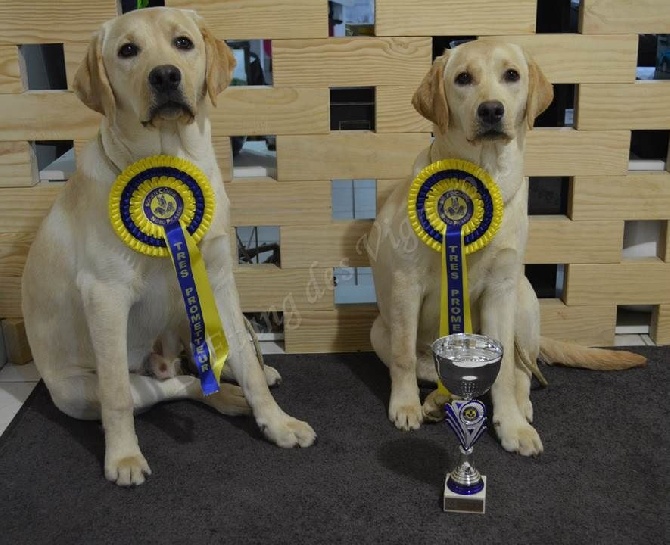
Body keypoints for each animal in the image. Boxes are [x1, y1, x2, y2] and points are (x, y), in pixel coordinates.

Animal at [21, 8, 316, 484]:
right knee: (170, 387)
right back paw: (224, 398)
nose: (164, 75)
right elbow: (117, 395)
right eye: (127, 50)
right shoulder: (105, 295)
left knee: (208, 368)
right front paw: (123, 457)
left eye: (183, 43)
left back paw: (240, 387)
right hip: (78, 391)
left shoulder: (217, 278)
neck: (170, 162)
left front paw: (277, 422)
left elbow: (246, 359)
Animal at [368, 39, 644, 454]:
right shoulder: (405, 284)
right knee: (426, 366)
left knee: (523, 370)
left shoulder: (500, 290)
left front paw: (511, 425)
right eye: (463, 78)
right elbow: (404, 357)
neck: (482, 178)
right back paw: (433, 399)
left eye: (511, 75)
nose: (491, 110)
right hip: (378, 329)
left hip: (523, 300)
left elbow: (503, 375)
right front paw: (405, 406)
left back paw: (518, 405)